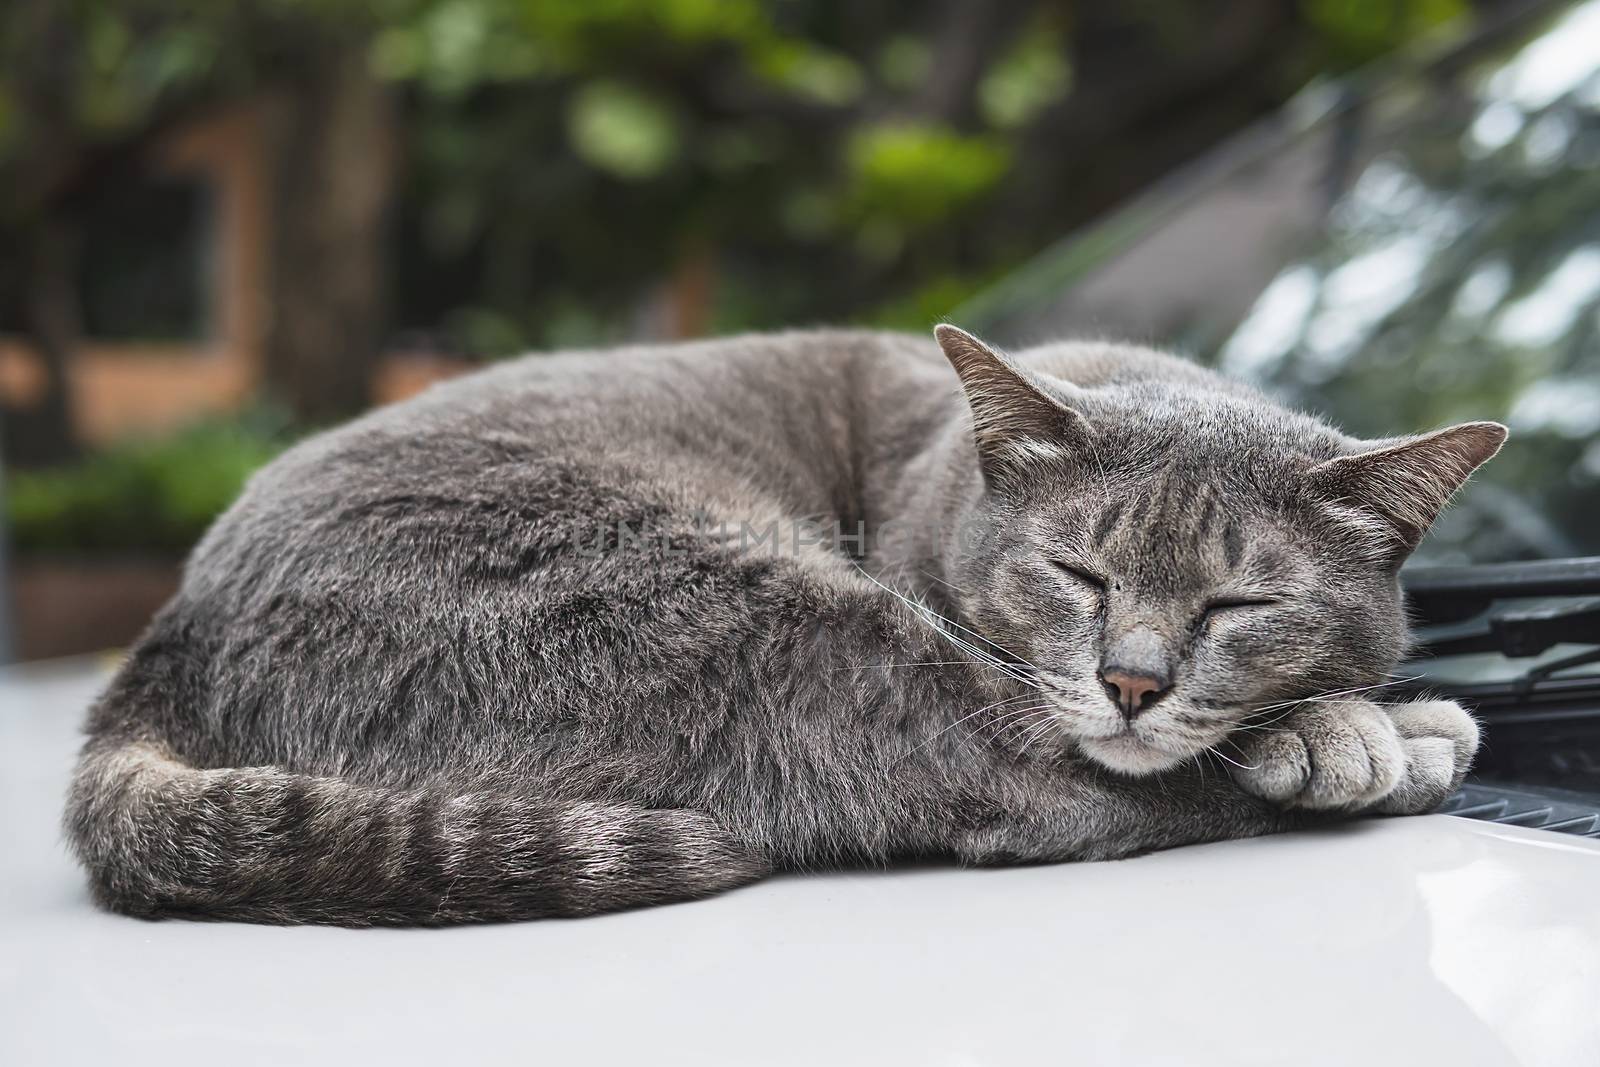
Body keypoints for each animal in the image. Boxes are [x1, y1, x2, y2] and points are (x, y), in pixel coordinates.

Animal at [68, 326, 1504, 927]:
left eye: (1238, 602)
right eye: (1078, 574)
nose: (1135, 680)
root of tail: (170, 630)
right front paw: (1354, 723)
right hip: (783, 622)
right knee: (1053, 794)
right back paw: (1409, 735)